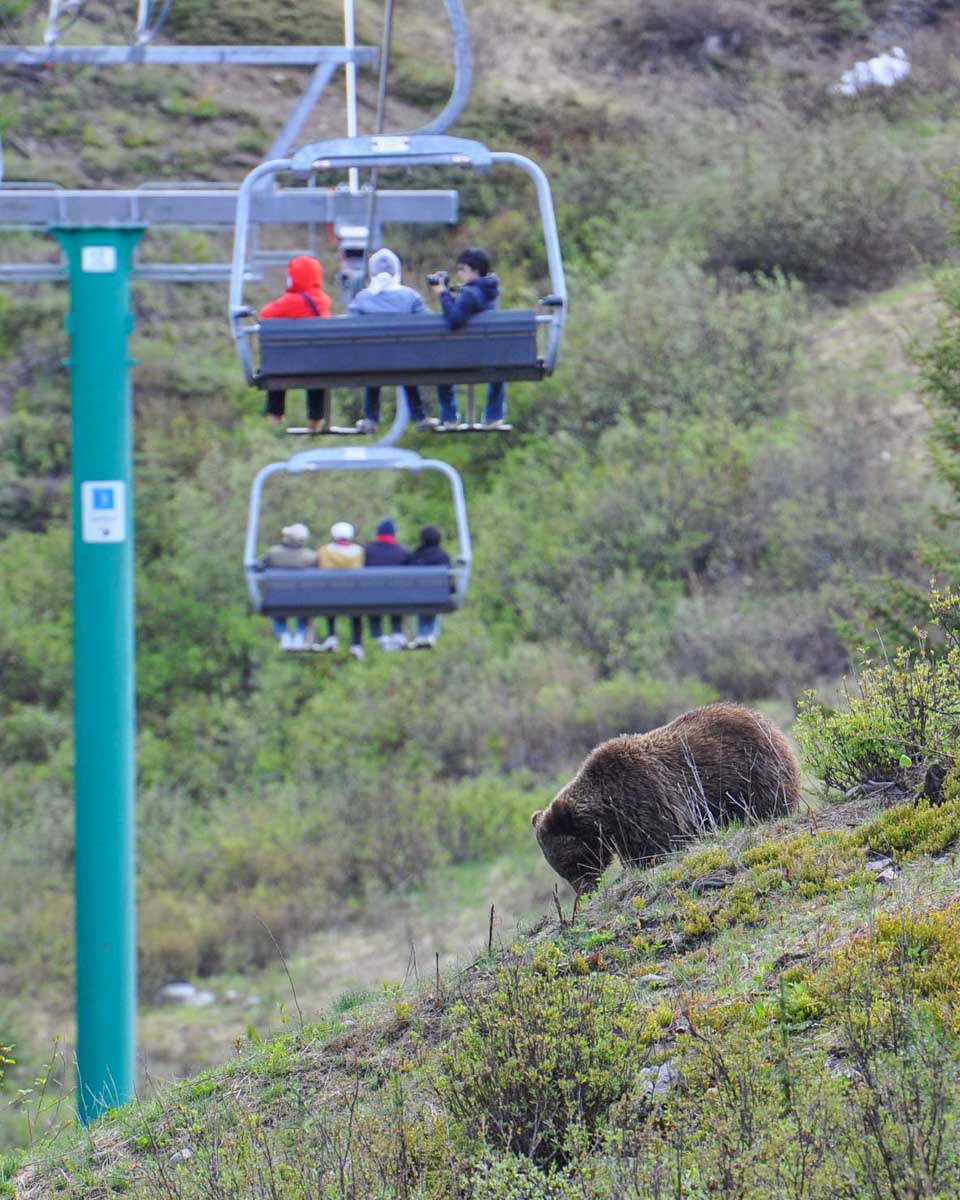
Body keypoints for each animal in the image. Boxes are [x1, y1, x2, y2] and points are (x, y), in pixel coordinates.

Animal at [531, 703, 801, 894]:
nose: (585, 891)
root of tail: (767, 722)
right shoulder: (625, 827)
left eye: (571, 863)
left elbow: (661, 840)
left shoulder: (645, 797)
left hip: (751, 771)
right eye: (562, 869)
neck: (606, 810)